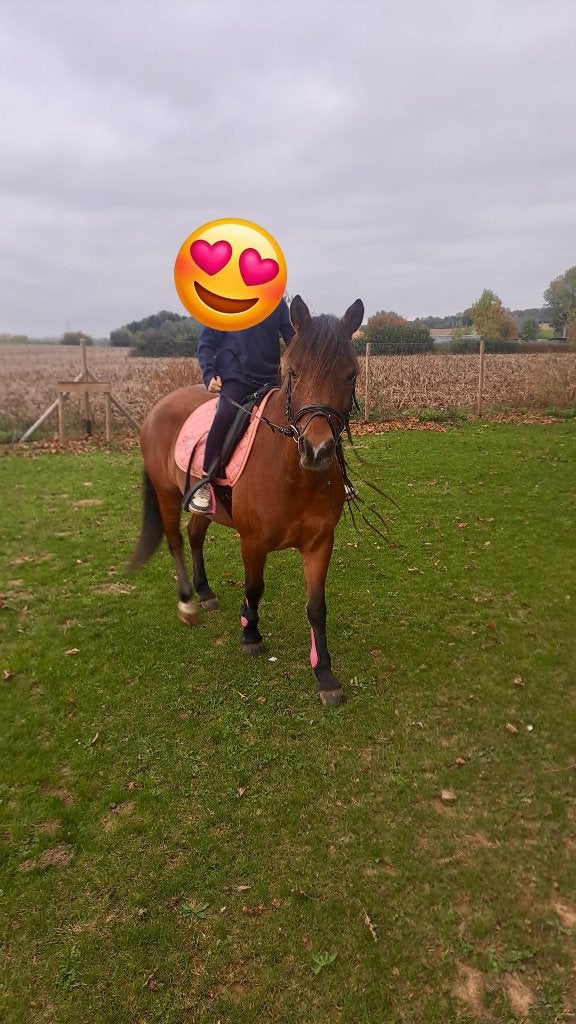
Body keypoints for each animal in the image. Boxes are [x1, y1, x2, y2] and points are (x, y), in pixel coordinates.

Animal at [129, 295, 364, 706]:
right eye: (293, 373)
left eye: (350, 375)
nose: (317, 450)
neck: (293, 473)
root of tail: (159, 406)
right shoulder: (253, 541)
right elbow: (255, 588)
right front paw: (250, 633)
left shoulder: (320, 542)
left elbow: (317, 607)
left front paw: (325, 674)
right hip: (166, 494)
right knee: (175, 540)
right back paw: (188, 602)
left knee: (195, 534)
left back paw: (205, 592)